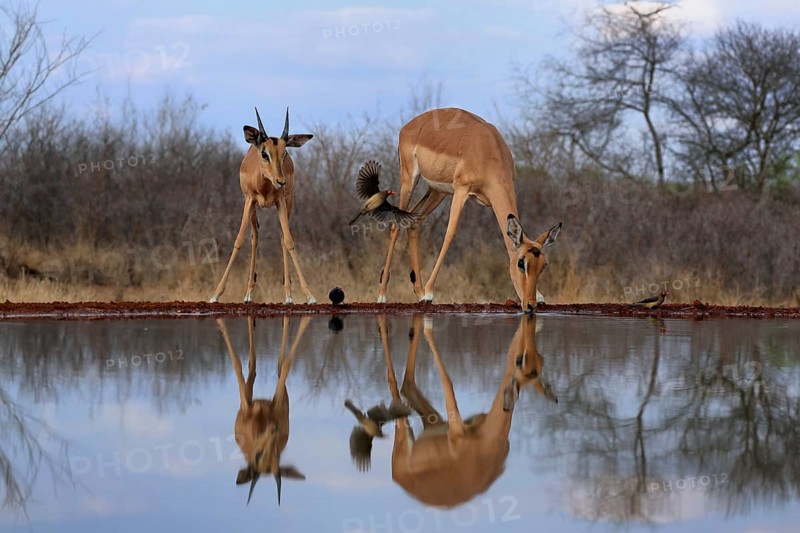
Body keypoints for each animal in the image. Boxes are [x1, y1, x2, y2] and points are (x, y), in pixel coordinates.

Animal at [209, 108, 315, 304]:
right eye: (265, 153)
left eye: (284, 154)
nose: (281, 181)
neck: (264, 186)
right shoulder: (249, 200)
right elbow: (239, 240)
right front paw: (215, 294)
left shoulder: (280, 201)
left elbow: (289, 241)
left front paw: (309, 295)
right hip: (253, 208)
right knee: (254, 236)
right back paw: (248, 294)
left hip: (288, 202)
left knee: (282, 237)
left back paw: (288, 295)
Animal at [217, 315, 310, 505]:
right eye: (258, 455)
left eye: (276, 453)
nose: (274, 429)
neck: (260, 419)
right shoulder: (246, 404)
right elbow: (238, 364)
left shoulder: (278, 403)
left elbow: (286, 366)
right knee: (253, 366)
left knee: (279, 365)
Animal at [375, 107, 561, 312]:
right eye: (521, 263)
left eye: (543, 265)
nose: (530, 304)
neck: (488, 150)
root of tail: (408, 126)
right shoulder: (462, 191)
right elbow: (450, 234)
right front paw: (430, 294)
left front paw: (541, 296)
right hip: (410, 179)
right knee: (395, 226)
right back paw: (383, 296)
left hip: (438, 191)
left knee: (413, 222)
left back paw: (419, 291)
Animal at [379, 314, 556, 507]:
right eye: (520, 360)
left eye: (540, 360)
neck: (489, 442)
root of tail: (397, 477)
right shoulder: (456, 430)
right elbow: (448, 383)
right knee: (394, 383)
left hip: (433, 423)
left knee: (408, 386)